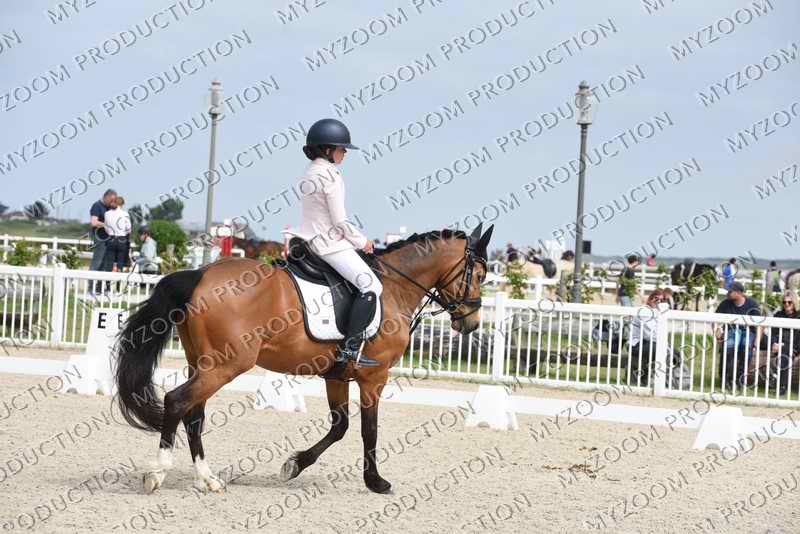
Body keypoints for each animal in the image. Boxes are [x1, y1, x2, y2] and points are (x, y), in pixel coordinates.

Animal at [113, 224, 494, 494]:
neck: (395, 286)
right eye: (478, 276)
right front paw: (376, 482)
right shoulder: (374, 377)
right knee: (177, 401)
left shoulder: (336, 376)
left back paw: (207, 480)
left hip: (202, 363)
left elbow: (340, 427)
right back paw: (157, 474)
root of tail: (200, 274)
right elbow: (368, 430)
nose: (471, 323)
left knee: (194, 414)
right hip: (225, 365)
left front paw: (294, 465)